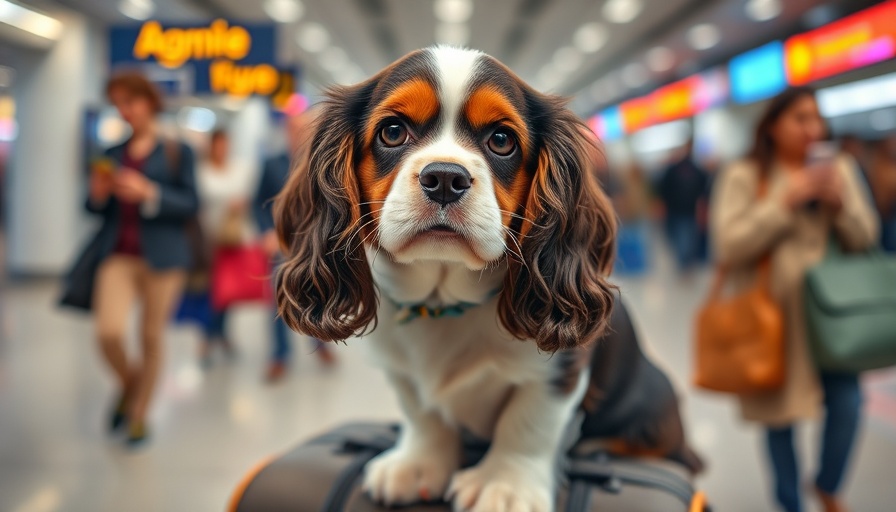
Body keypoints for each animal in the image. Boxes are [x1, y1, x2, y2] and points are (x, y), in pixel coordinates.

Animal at [276, 46, 696, 510]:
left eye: (501, 140)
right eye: (392, 131)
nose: (445, 177)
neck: (443, 302)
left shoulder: (560, 370)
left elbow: (528, 423)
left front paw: (506, 485)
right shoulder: (401, 372)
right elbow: (421, 412)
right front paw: (419, 463)